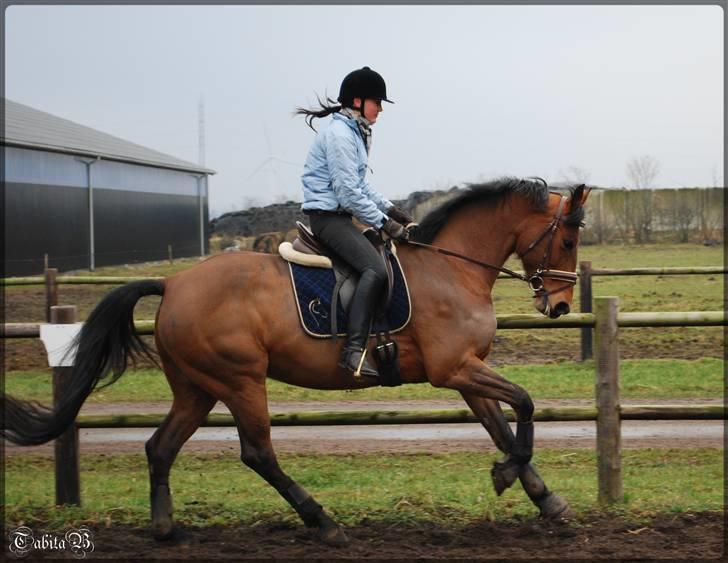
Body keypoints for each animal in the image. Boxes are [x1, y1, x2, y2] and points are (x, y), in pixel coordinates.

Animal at [2, 177, 588, 548]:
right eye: (566, 237)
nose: (558, 305)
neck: (452, 267)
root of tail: (173, 282)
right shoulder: (455, 369)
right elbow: (525, 405)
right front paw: (509, 476)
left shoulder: (466, 373)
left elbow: (502, 426)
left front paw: (543, 497)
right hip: (240, 380)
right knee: (258, 453)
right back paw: (323, 522)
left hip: (197, 388)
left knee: (160, 447)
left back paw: (167, 530)